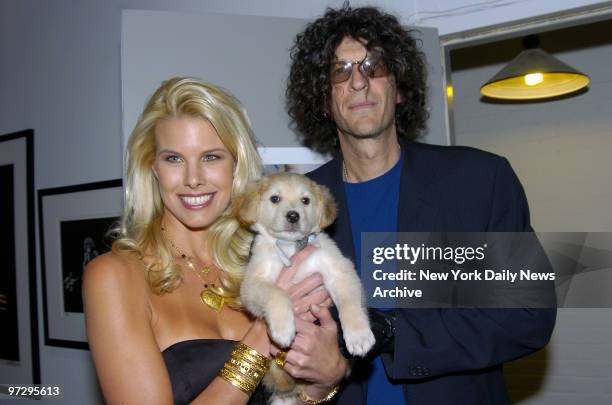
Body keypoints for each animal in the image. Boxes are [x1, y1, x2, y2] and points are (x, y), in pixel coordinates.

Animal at [234, 172, 376, 402]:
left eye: (305, 201)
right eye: (275, 199)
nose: (293, 216)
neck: (291, 248)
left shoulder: (339, 270)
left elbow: (349, 303)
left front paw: (359, 335)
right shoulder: (253, 283)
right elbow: (277, 293)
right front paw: (283, 329)